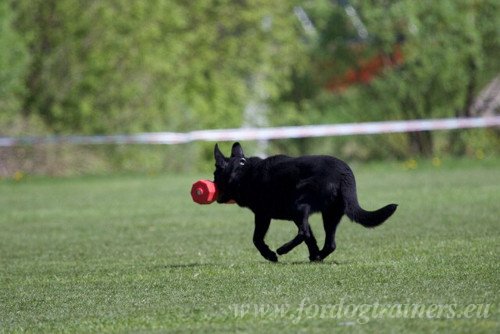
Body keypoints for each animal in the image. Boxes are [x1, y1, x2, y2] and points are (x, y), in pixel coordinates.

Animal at [213, 142, 396, 262]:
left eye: (215, 175)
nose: (211, 183)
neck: (242, 171)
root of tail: (344, 173)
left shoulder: (262, 215)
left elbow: (257, 239)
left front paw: (270, 255)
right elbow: (312, 239)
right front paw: (314, 254)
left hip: (298, 206)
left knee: (304, 233)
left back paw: (282, 249)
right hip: (330, 214)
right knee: (329, 243)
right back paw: (317, 256)